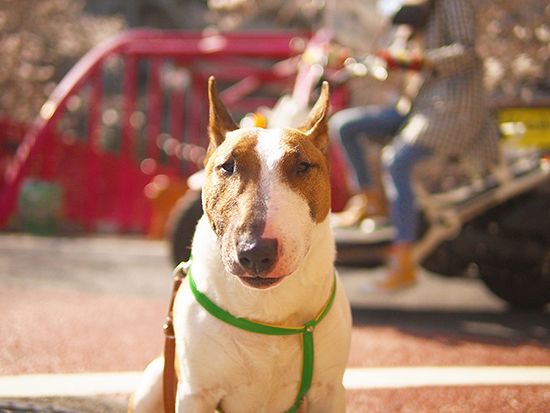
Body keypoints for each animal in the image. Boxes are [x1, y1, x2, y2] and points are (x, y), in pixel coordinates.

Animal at [132, 76, 352, 412]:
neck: (268, 309)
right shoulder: (195, 393)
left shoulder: (329, 391)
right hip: (156, 378)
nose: (256, 252)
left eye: (302, 167)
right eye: (227, 166)